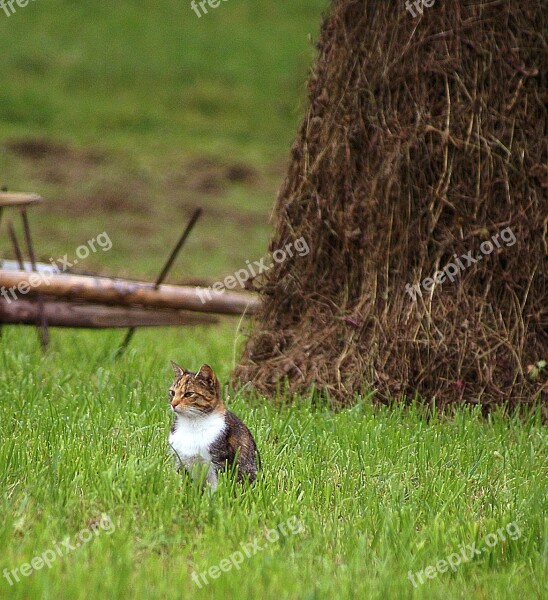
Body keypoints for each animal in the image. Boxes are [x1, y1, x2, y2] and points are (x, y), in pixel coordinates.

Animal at [167, 360, 262, 488]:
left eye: (189, 394)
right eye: (172, 392)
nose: (173, 404)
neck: (192, 423)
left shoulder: (219, 462)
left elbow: (217, 487)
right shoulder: (180, 460)